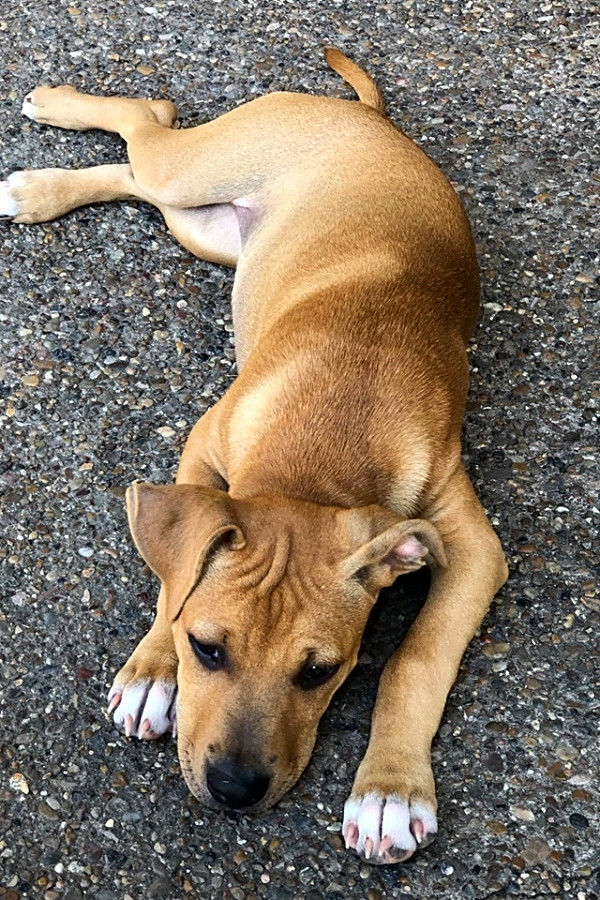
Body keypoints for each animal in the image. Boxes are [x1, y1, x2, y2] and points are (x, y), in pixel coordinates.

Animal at [1, 51, 506, 864]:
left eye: (320, 672)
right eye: (206, 650)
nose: (235, 791)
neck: (329, 439)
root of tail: (370, 119)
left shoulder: (473, 547)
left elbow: (417, 659)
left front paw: (390, 792)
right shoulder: (200, 448)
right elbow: (174, 579)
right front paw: (154, 672)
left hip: (208, 228)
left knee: (136, 165)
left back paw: (39, 187)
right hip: (197, 175)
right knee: (147, 124)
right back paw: (52, 118)